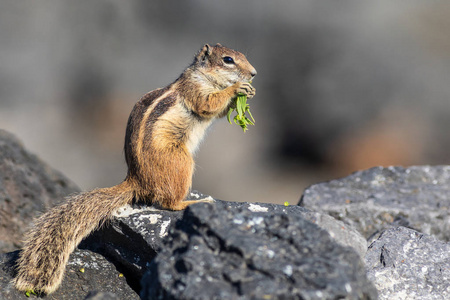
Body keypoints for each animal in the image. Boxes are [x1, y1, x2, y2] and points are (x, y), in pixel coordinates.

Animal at [13, 43, 256, 294]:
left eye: (242, 56)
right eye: (228, 60)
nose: (253, 73)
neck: (204, 76)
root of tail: (136, 180)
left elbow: (218, 111)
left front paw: (248, 92)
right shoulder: (195, 90)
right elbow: (208, 104)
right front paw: (237, 88)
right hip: (181, 161)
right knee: (169, 203)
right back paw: (192, 203)